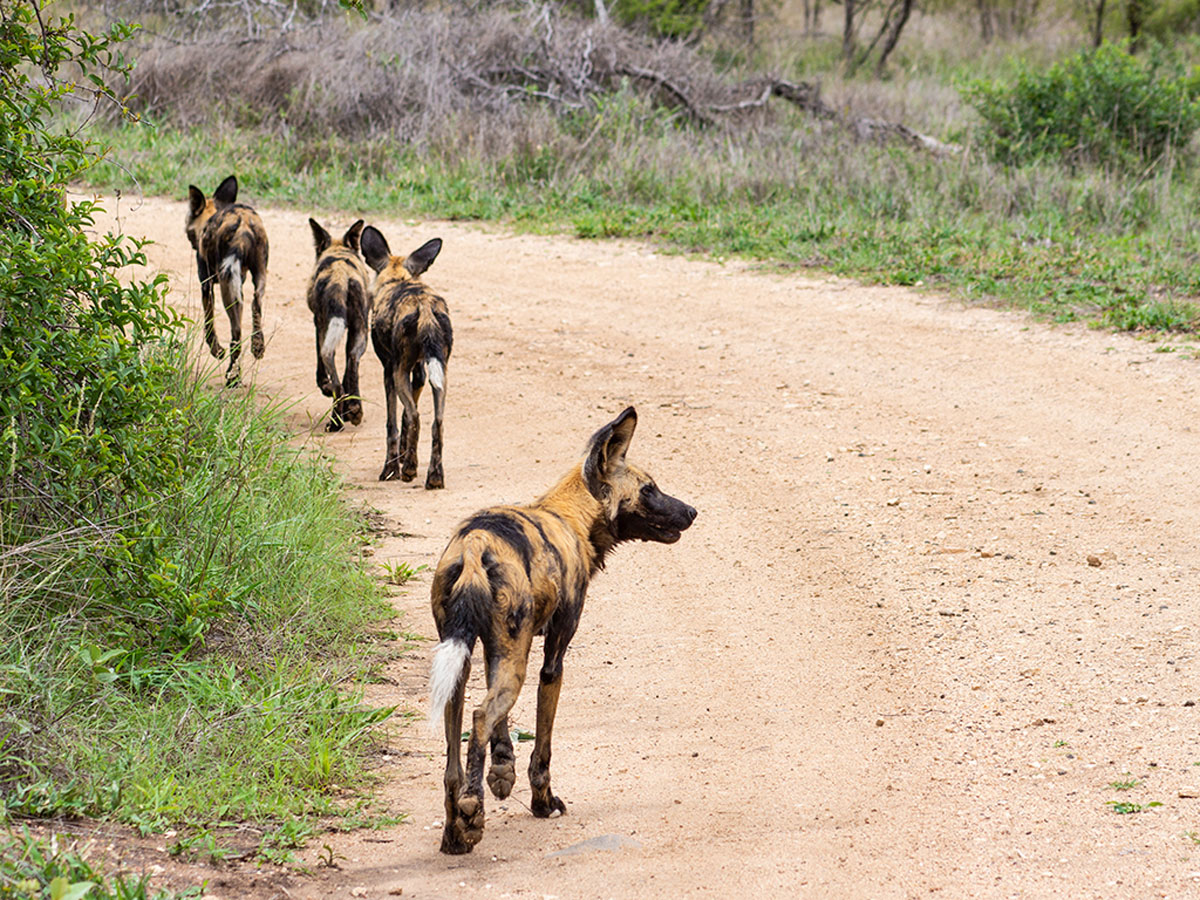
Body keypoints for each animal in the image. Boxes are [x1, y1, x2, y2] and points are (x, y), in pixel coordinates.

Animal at [185, 175, 269, 387]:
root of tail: (244, 223)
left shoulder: (206, 286)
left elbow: (209, 326)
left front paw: (216, 351)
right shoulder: (239, 283)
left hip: (225, 286)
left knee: (236, 333)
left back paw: (232, 377)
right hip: (258, 277)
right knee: (256, 305)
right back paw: (257, 348)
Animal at [306, 218, 371, 431]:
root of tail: (340, 275)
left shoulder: (318, 324)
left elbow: (321, 370)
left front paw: (325, 388)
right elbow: (348, 370)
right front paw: (350, 408)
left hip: (327, 329)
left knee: (331, 366)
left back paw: (336, 422)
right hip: (360, 331)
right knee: (353, 360)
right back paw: (355, 410)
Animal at [361, 226, 452, 488]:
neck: (398, 280)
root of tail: (424, 306)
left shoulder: (389, 370)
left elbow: (393, 422)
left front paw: (392, 466)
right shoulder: (420, 371)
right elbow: (404, 418)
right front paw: (403, 454)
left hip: (399, 371)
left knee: (415, 415)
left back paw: (409, 470)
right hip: (440, 374)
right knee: (437, 422)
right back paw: (434, 477)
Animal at [428, 407, 697, 854]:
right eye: (649, 489)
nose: (692, 511)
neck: (569, 517)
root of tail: (473, 545)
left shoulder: (495, 650)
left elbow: (503, 730)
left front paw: (502, 773)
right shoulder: (552, 657)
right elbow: (543, 746)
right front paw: (543, 801)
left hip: (465, 665)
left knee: (455, 753)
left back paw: (455, 831)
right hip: (513, 665)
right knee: (480, 717)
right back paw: (473, 812)